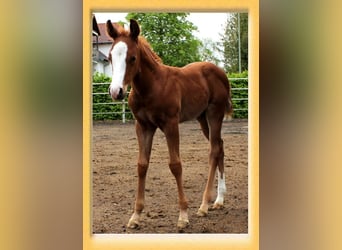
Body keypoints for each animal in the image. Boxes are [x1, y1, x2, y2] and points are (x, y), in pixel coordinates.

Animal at [106, 19, 232, 230]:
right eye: (109, 57)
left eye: (132, 58)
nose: (116, 92)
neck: (151, 87)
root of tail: (221, 72)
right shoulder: (143, 126)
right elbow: (142, 165)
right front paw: (135, 216)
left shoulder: (171, 124)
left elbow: (175, 164)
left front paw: (183, 215)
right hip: (202, 118)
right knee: (220, 146)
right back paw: (219, 200)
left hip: (215, 114)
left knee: (214, 150)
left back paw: (204, 205)